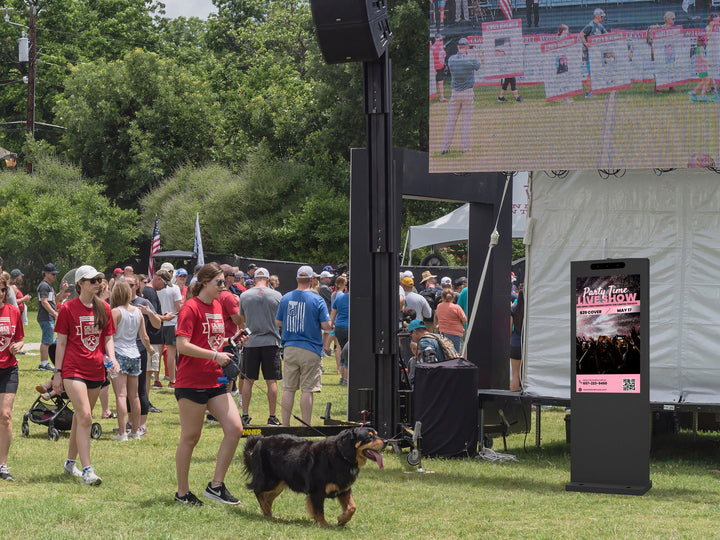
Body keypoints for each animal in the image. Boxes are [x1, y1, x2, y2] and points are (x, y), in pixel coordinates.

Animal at [242, 426, 386, 528]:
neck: (342, 456)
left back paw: (269, 514)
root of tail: (260, 441)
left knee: (268, 498)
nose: (386, 441)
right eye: (369, 437)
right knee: (258, 491)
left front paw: (342, 519)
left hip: (279, 484)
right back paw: (266, 511)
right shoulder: (317, 491)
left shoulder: (344, 489)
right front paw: (324, 525)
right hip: (269, 480)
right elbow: (319, 510)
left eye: (377, 433)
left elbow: (352, 507)